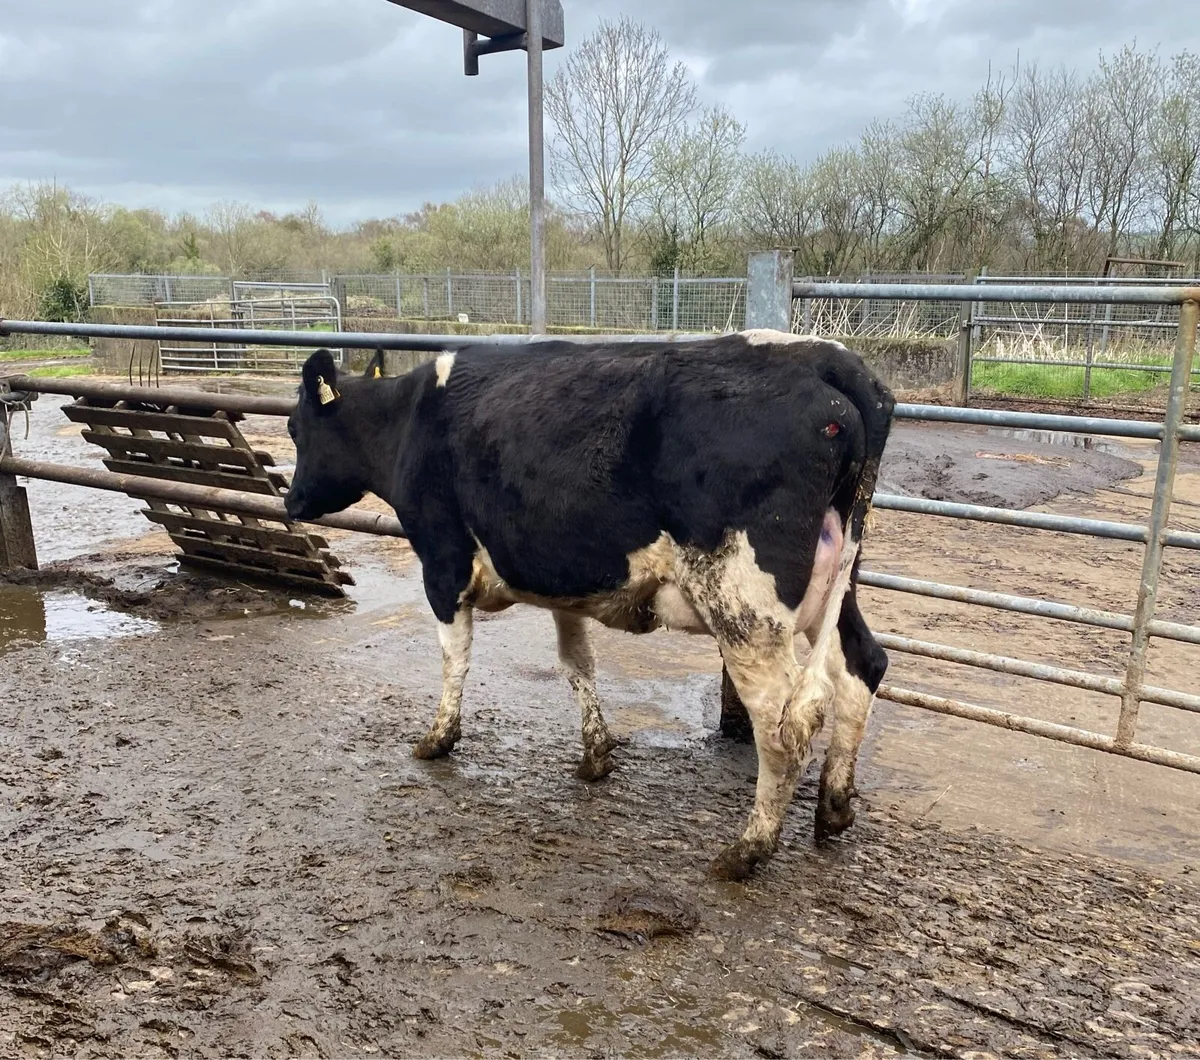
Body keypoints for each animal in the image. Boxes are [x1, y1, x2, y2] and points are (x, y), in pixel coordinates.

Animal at [284, 331, 894, 881]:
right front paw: (597, 756)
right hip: (835, 583)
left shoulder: (442, 561)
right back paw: (834, 810)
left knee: (782, 719)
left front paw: (438, 739)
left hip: (745, 604)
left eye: (295, 428)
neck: (409, 419)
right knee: (862, 665)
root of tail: (825, 358)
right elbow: (577, 664)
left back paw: (750, 848)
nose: (291, 502)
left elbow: (454, 657)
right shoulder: (563, 580)